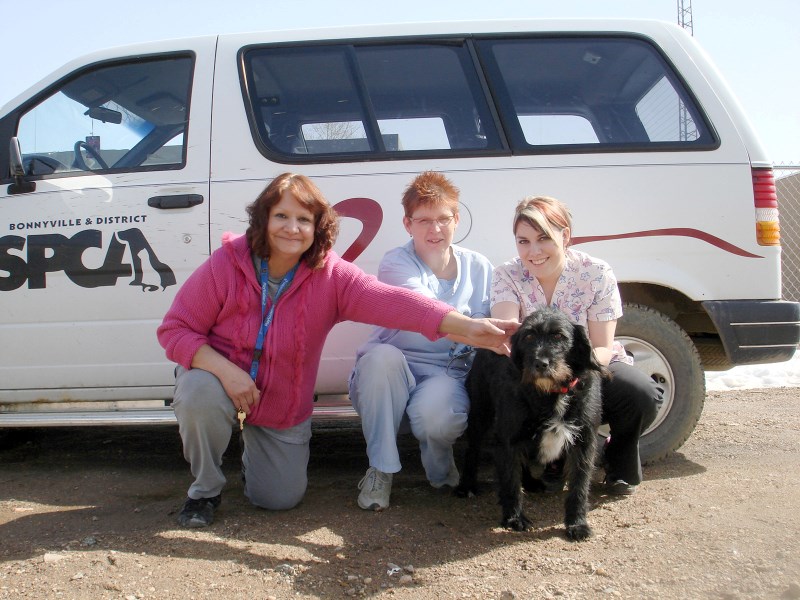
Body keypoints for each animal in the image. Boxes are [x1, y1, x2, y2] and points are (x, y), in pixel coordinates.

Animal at [456, 308, 600, 540]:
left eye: (559, 336)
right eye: (528, 337)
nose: (541, 363)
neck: (550, 393)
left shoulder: (584, 442)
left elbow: (579, 486)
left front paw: (577, 524)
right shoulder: (507, 438)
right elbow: (510, 481)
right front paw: (514, 518)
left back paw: (531, 482)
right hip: (480, 413)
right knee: (473, 450)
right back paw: (466, 485)